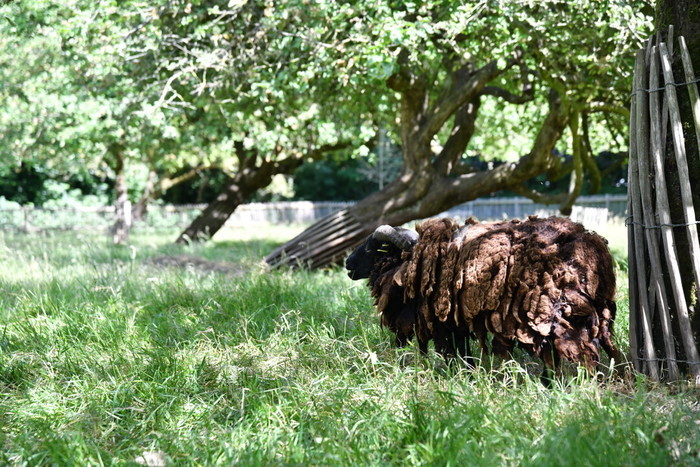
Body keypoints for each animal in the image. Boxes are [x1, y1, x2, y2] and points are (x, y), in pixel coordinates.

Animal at [346, 216, 616, 384]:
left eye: (371, 248)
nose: (347, 264)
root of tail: (592, 251)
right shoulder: (456, 320)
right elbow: (463, 353)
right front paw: (467, 375)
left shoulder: (442, 321)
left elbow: (451, 353)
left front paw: (457, 375)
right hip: (593, 313)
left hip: (547, 312)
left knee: (566, 351)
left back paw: (558, 384)